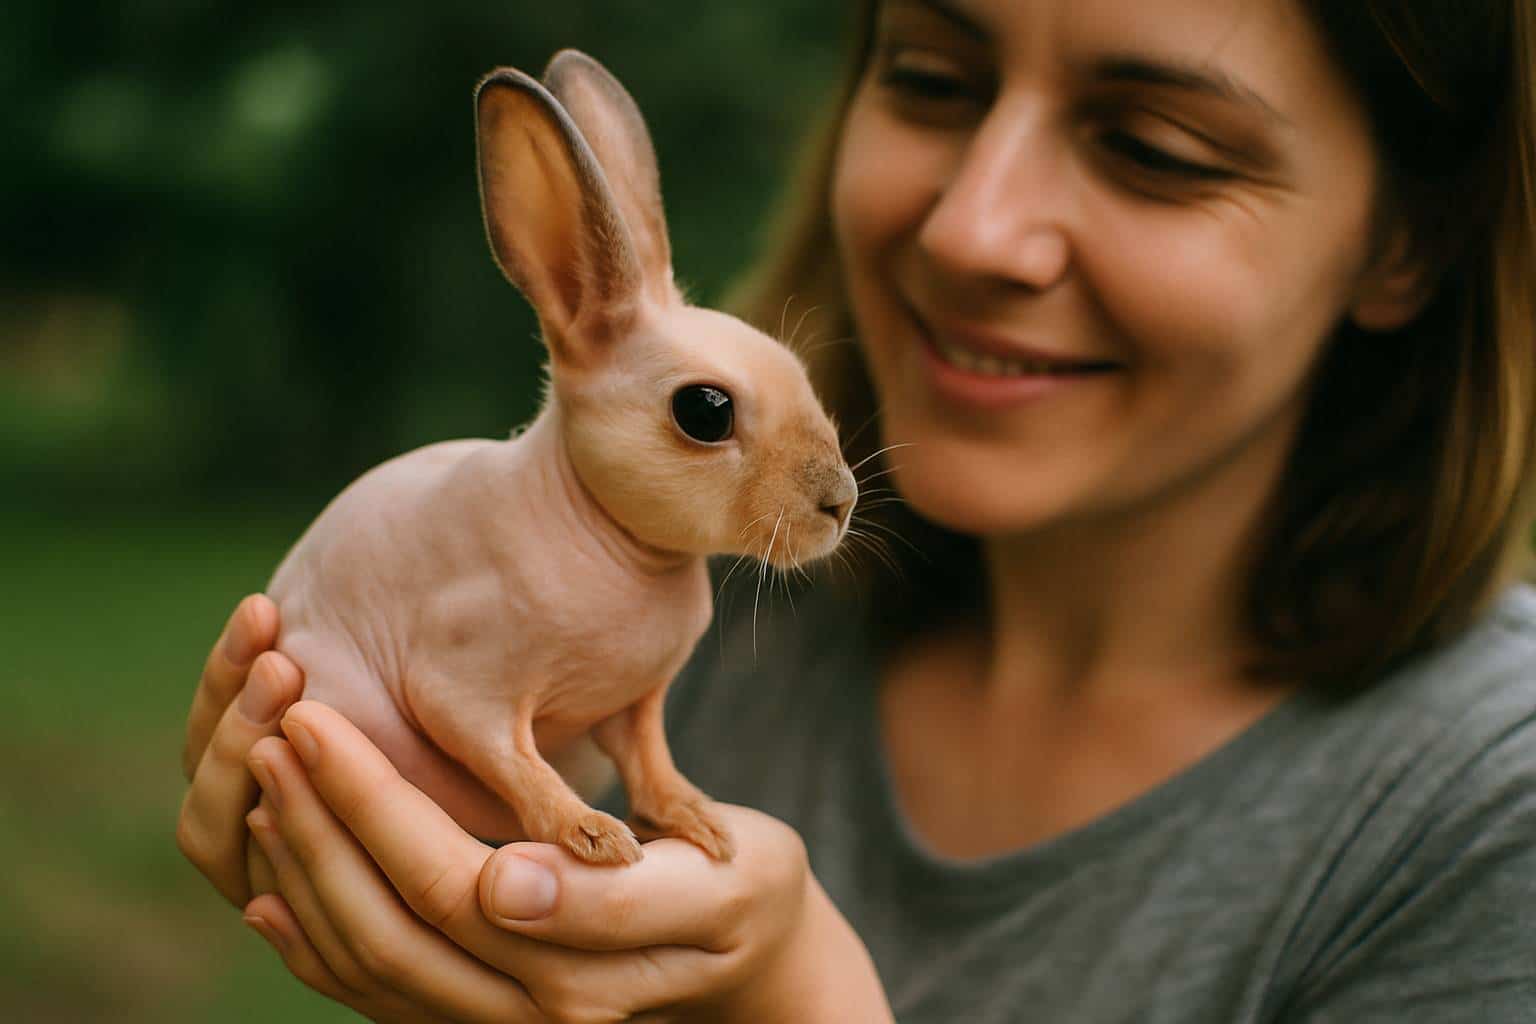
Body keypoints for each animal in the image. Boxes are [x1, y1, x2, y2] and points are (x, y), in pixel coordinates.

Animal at [263, 50, 857, 867]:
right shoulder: (462, 682)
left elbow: (651, 761)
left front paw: (699, 820)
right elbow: (513, 759)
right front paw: (593, 836)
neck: (618, 543)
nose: (841, 502)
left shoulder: (636, 704)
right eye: (706, 412)